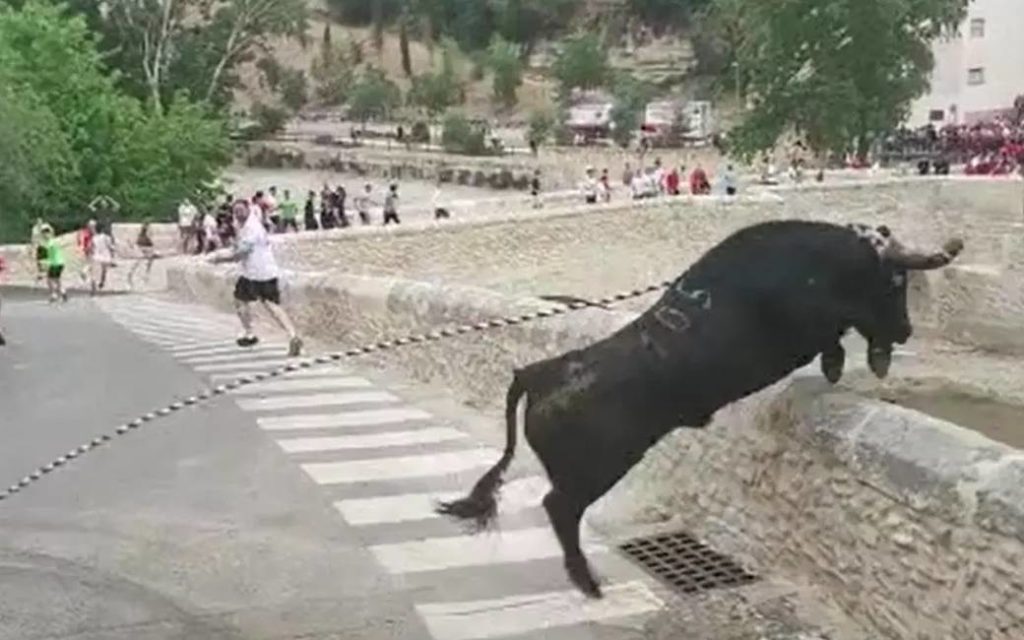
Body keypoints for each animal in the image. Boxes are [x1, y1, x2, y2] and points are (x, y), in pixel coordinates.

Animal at [436, 221, 962, 598]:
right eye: (896, 280)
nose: (907, 332)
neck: (822, 264)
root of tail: (541, 371)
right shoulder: (813, 319)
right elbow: (839, 327)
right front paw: (846, 363)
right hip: (598, 467)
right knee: (559, 507)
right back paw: (591, 584)